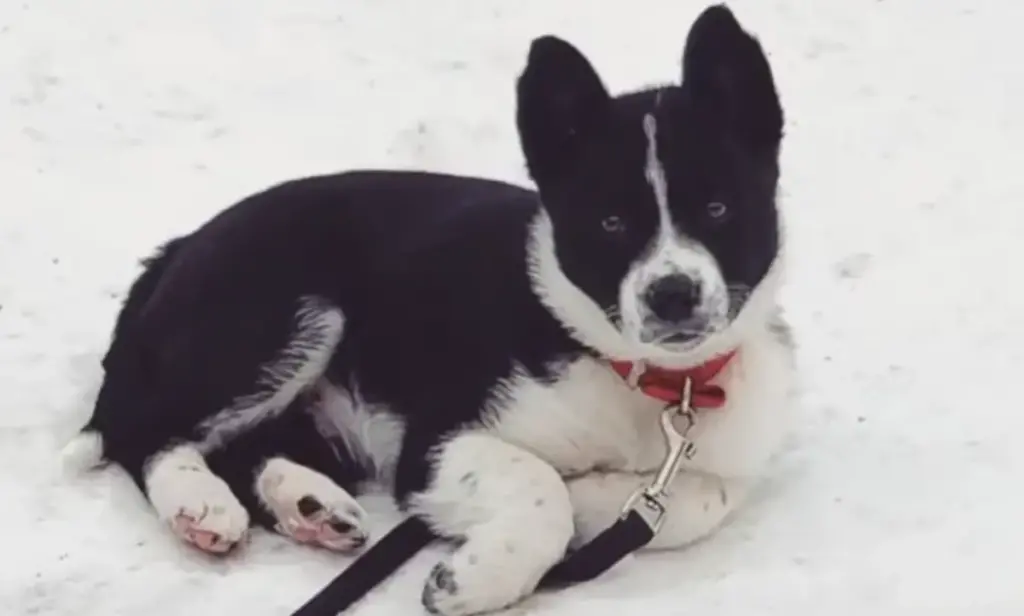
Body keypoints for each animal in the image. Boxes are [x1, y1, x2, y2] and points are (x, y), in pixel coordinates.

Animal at [64, 6, 794, 613]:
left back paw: (309, 505)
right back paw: (200, 502)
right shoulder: (437, 442)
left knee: (249, 445)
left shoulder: (724, 455)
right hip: (284, 312)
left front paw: (597, 496)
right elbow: (539, 483)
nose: (672, 295)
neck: (647, 382)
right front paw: (478, 577)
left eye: (719, 209)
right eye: (611, 223)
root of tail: (179, 248)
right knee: (143, 428)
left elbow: (704, 497)